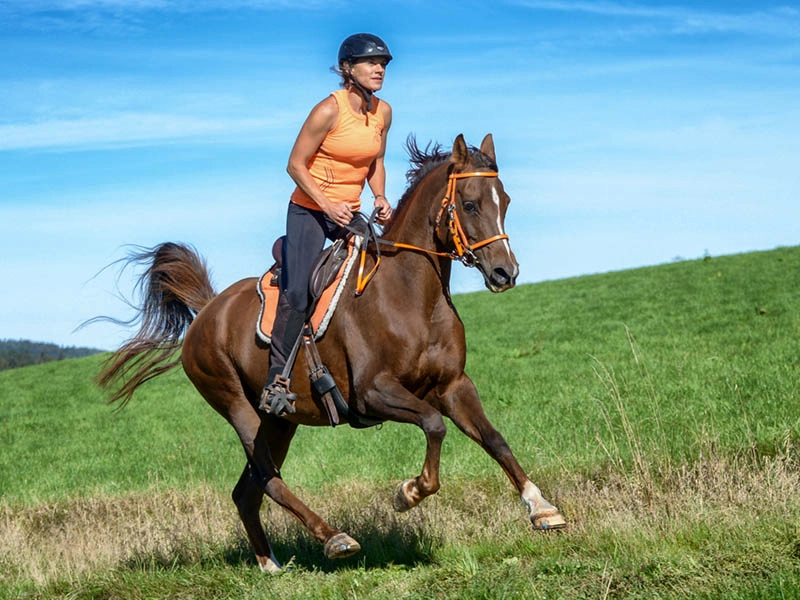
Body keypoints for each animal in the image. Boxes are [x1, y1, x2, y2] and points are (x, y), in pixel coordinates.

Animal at [98, 133, 566, 573]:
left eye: (505, 200)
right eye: (469, 204)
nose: (505, 272)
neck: (413, 295)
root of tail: (208, 310)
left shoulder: (453, 385)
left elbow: (494, 438)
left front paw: (541, 508)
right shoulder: (373, 393)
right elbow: (434, 426)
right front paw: (409, 492)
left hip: (279, 423)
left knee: (247, 490)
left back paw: (270, 564)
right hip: (238, 408)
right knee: (268, 479)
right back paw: (334, 537)